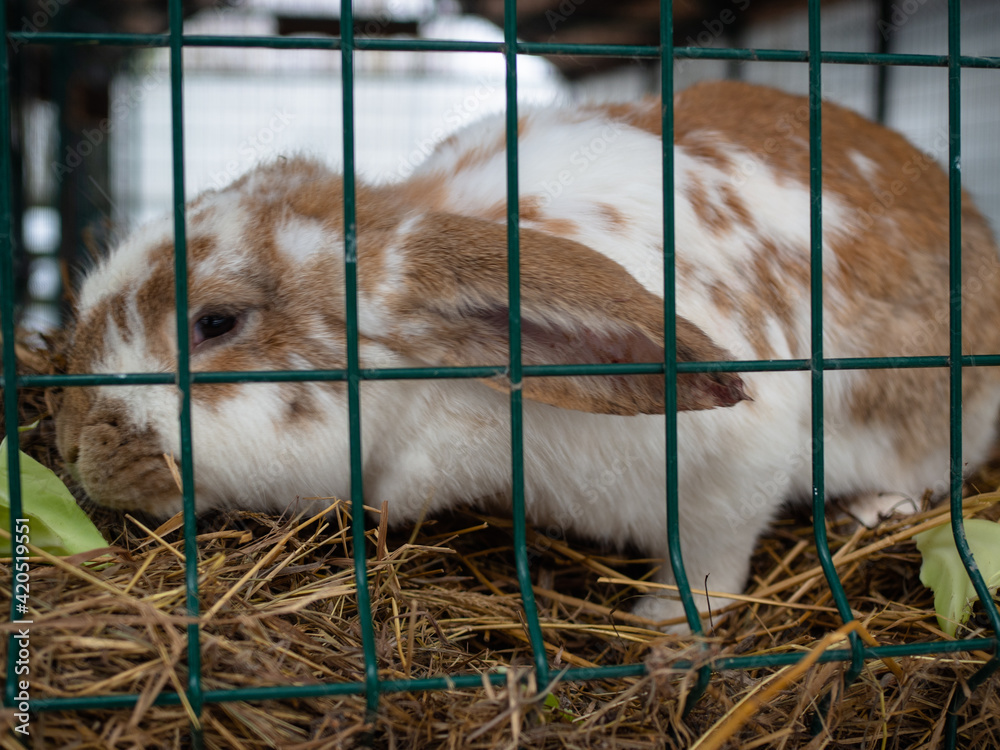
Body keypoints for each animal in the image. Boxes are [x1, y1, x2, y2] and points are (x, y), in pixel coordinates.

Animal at [55, 80, 1000, 630]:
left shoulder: (736, 470)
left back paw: (875, 508)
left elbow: (710, 558)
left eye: (216, 322)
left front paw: (663, 624)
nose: (71, 443)